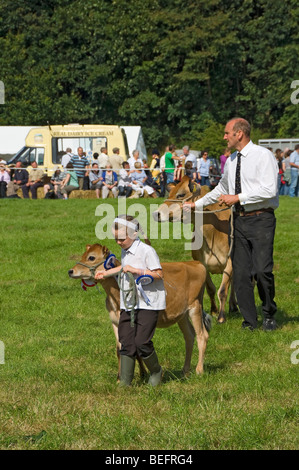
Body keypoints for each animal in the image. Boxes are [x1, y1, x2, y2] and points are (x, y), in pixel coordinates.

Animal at [69, 242, 212, 378]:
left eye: (91, 257)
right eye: (83, 255)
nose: (70, 271)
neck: (115, 298)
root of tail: (196, 263)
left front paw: (140, 374)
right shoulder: (115, 322)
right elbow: (120, 349)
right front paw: (123, 376)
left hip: (195, 306)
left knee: (202, 335)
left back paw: (199, 370)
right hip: (182, 315)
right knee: (189, 336)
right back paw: (185, 371)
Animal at [154, 176, 238, 324]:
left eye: (180, 195)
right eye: (169, 194)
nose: (156, 214)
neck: (211, 233)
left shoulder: (230, 262)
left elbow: (222, 290)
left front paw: (221, 317)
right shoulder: (201, 263)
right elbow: (210, 289)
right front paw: (214, 311)